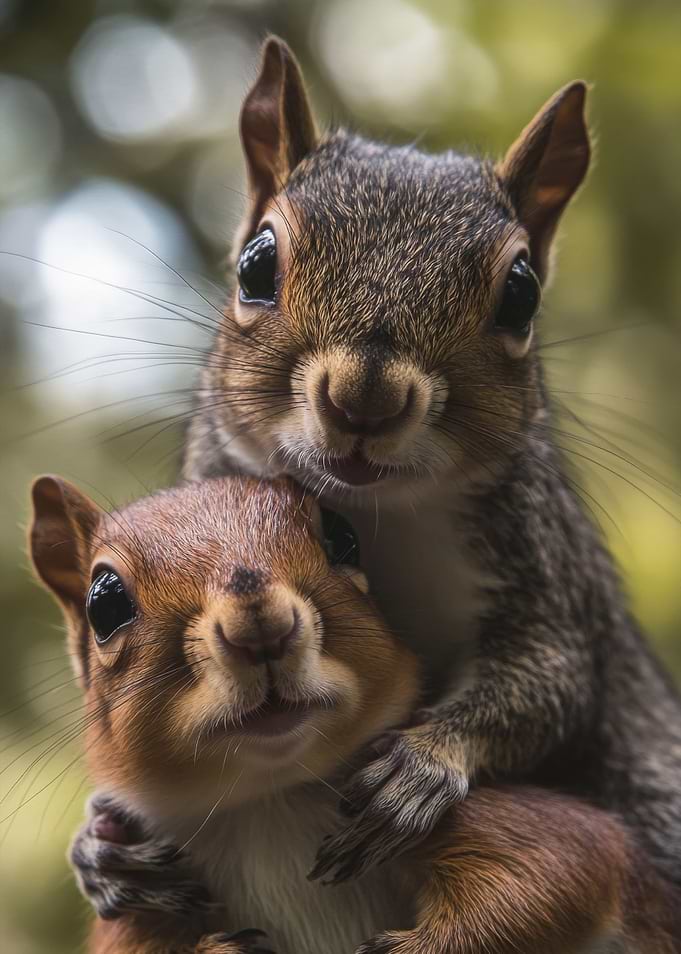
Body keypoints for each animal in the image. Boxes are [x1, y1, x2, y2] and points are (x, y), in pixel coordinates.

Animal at [29, 473, 681, 954]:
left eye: (342, 537)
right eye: (104, 601)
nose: (260, 627)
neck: (270, 800)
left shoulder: (494, 825)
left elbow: (558, 870)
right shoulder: (144, 910)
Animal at [68, 34, 681, 908]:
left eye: (521, 294)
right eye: (256, 264)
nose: (365, 399)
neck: (389, 513)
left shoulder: (547, 574)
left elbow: (547, 681)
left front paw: (421, 765)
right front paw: (99, 845)